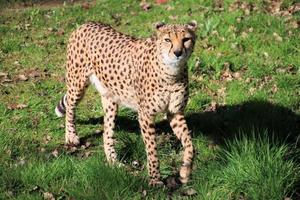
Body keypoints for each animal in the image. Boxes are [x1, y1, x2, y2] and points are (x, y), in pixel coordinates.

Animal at [55, 20, 198, 186]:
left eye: (186, 39)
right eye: (167, 40)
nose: (178, 53)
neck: (171, 72)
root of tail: (87, 23)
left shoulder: (175, 112)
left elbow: (190, 144)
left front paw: (185, 171)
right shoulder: (146, 115)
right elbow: (152, 150)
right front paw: (155, 180)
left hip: (111, 100)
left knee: (107, 132)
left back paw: (113, 161)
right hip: (77, 84)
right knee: (70, 110)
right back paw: (71, 137)